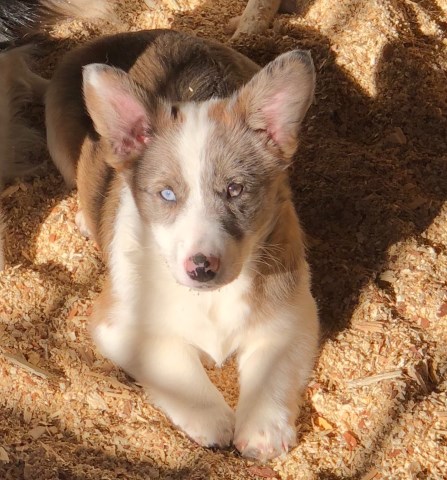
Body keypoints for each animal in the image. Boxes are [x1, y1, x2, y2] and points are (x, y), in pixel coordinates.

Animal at [45, 27, 320, 462]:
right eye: (168, 194)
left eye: (235, 189)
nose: (201, 267)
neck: (211, 299)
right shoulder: (118, 324)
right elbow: (176, 365)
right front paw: (214, 422)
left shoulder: (293, 317)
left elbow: (271, 374)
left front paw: (263, 432)